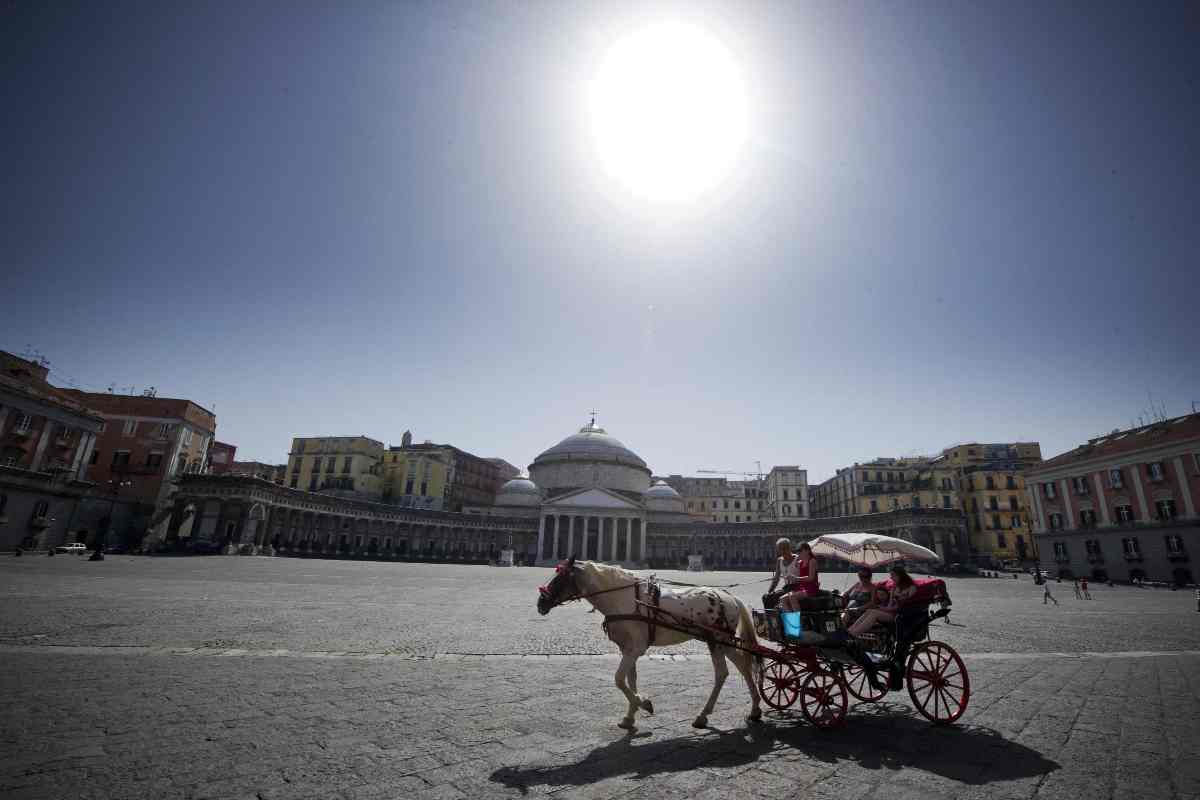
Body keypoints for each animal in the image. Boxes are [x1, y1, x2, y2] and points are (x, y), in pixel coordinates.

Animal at [535, 561, 758, 729]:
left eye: (561, 578)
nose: (540, 604)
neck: (623, 599)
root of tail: (729, 596)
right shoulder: (627, 649)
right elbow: (630, 680)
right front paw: (629, 717)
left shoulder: (636, 649)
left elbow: (618, 679)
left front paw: (644, 703)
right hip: (724, 642)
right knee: (743, 666)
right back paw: (754, 710)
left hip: (717, 641)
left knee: (722, 672)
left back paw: (704, 715)